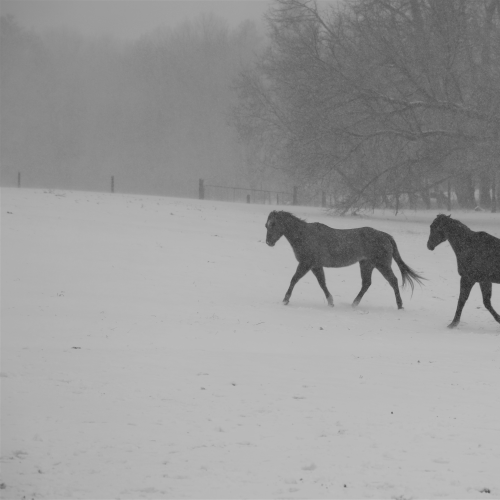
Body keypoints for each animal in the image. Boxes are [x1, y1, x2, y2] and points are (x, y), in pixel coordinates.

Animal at [264, 210, 424, 308]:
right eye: (266, 225)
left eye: (273, 224)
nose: (268, 242)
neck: (304, 235)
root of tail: (385, 236)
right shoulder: (315, 266)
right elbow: (322, 283)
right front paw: (331, 302)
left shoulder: (306, 264)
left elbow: (294, 280)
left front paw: (285, 299)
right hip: (366, 264)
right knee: (367, 283)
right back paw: (354, 303)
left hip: (382, 264)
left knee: (393, 281)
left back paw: (399, 305)